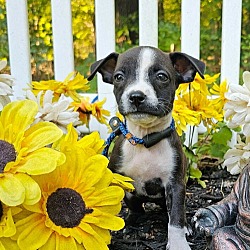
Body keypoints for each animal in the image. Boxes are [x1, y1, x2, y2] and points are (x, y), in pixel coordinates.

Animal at [88, 46, 205, 249]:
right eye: (119, 77)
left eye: (162, 76)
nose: (136, 96)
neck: (145, 140)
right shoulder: (117, 178)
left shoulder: (175, 185)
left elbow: (176, 217)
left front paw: (178, 243)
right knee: (137, 208)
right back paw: (133, 220)